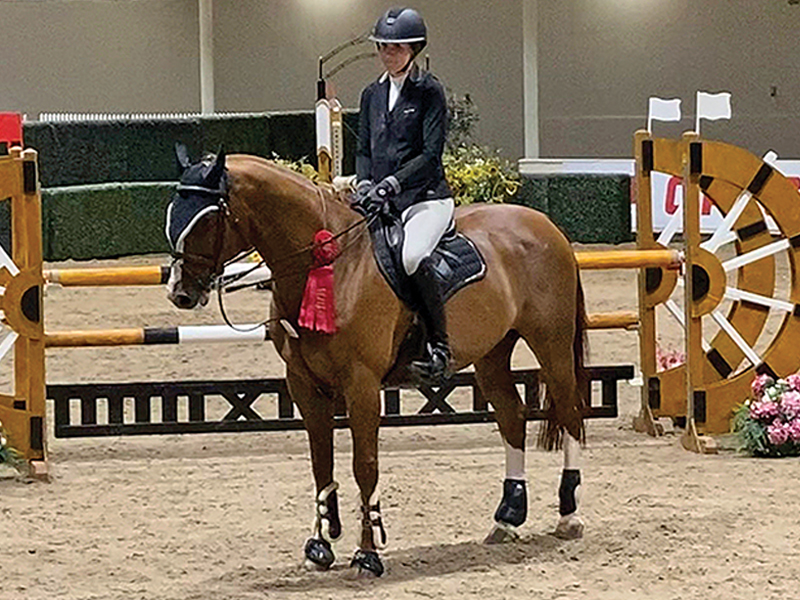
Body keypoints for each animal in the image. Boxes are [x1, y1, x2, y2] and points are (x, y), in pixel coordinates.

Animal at [165, 148, 588, 577]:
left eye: (207, 219)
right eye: (173, 210)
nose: (180, 293)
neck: (333, 264)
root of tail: (544, 224)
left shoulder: (362, 384)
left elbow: (364, 464)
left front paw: (368, 553)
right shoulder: (303, 384)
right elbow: (321, 463)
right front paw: (320, 546)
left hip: (551, 344)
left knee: (570, 414)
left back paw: (569, 515)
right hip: (492, 353)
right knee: (512, 418)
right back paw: (507, 518)